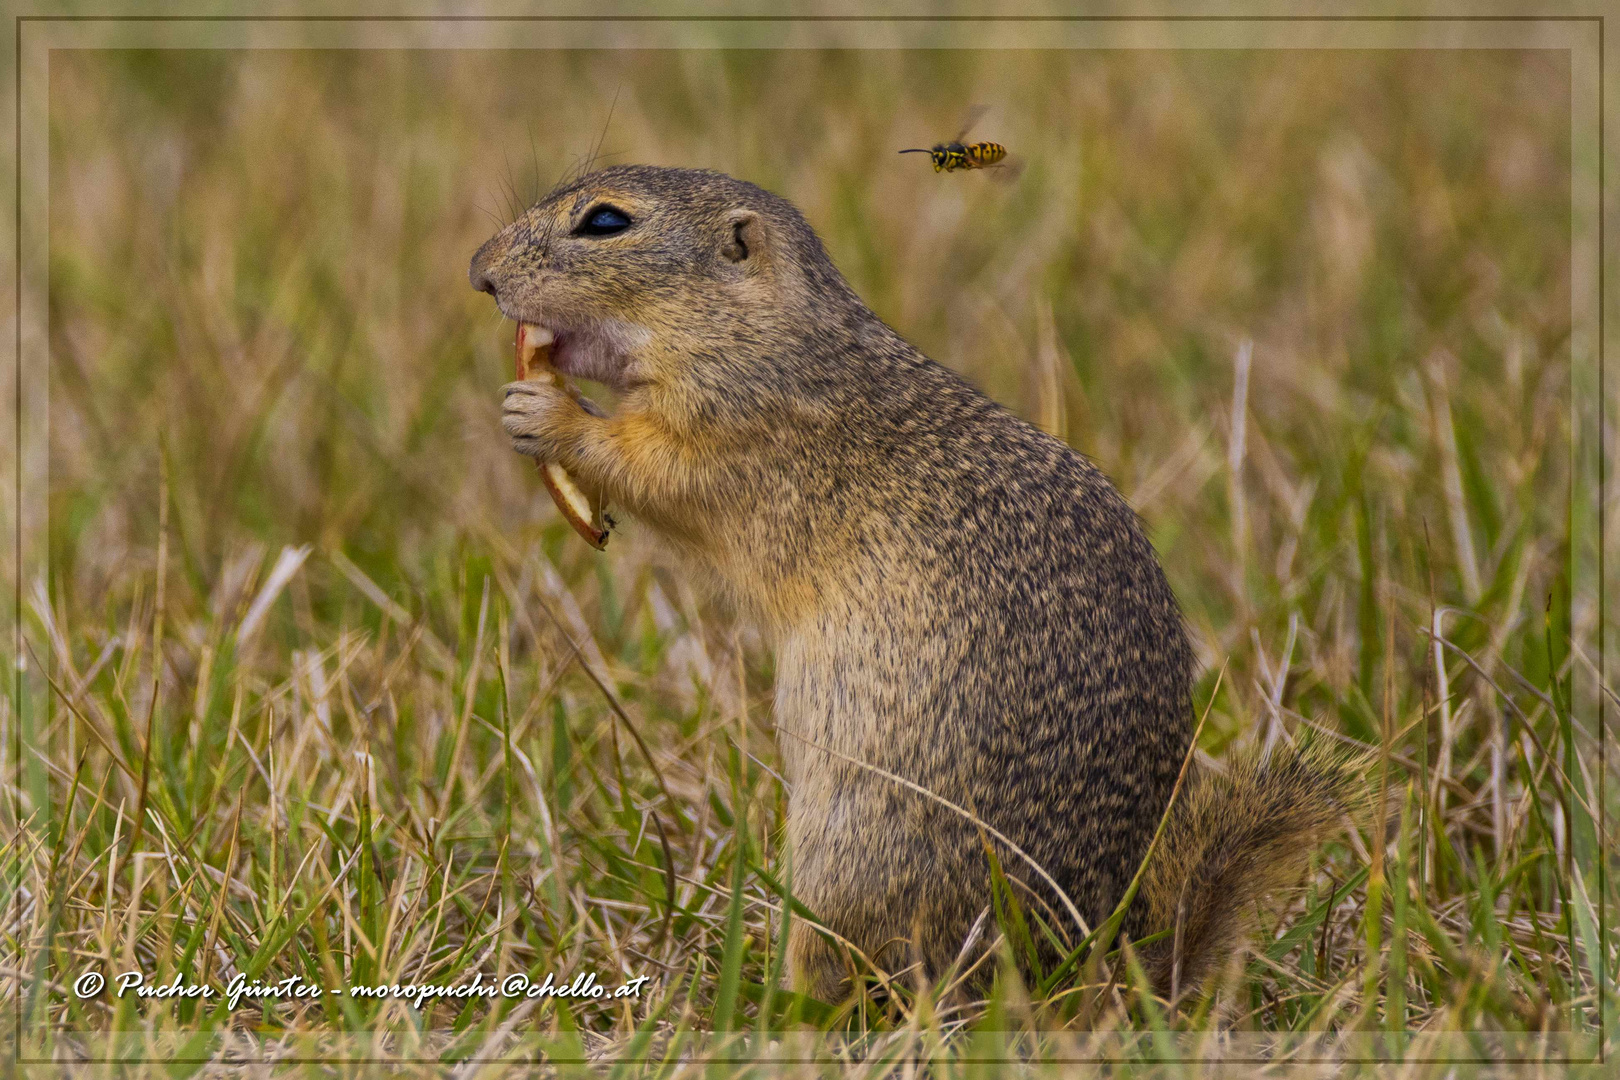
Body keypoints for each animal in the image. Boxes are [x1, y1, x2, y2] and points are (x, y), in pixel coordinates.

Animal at [473, 165, 1367, 1003]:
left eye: (605, 223)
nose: (480, 271)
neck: (766, 332)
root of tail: (1080, 969)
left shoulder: (737, 432)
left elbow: (651, 468)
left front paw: (544, 415)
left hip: (846, 863)